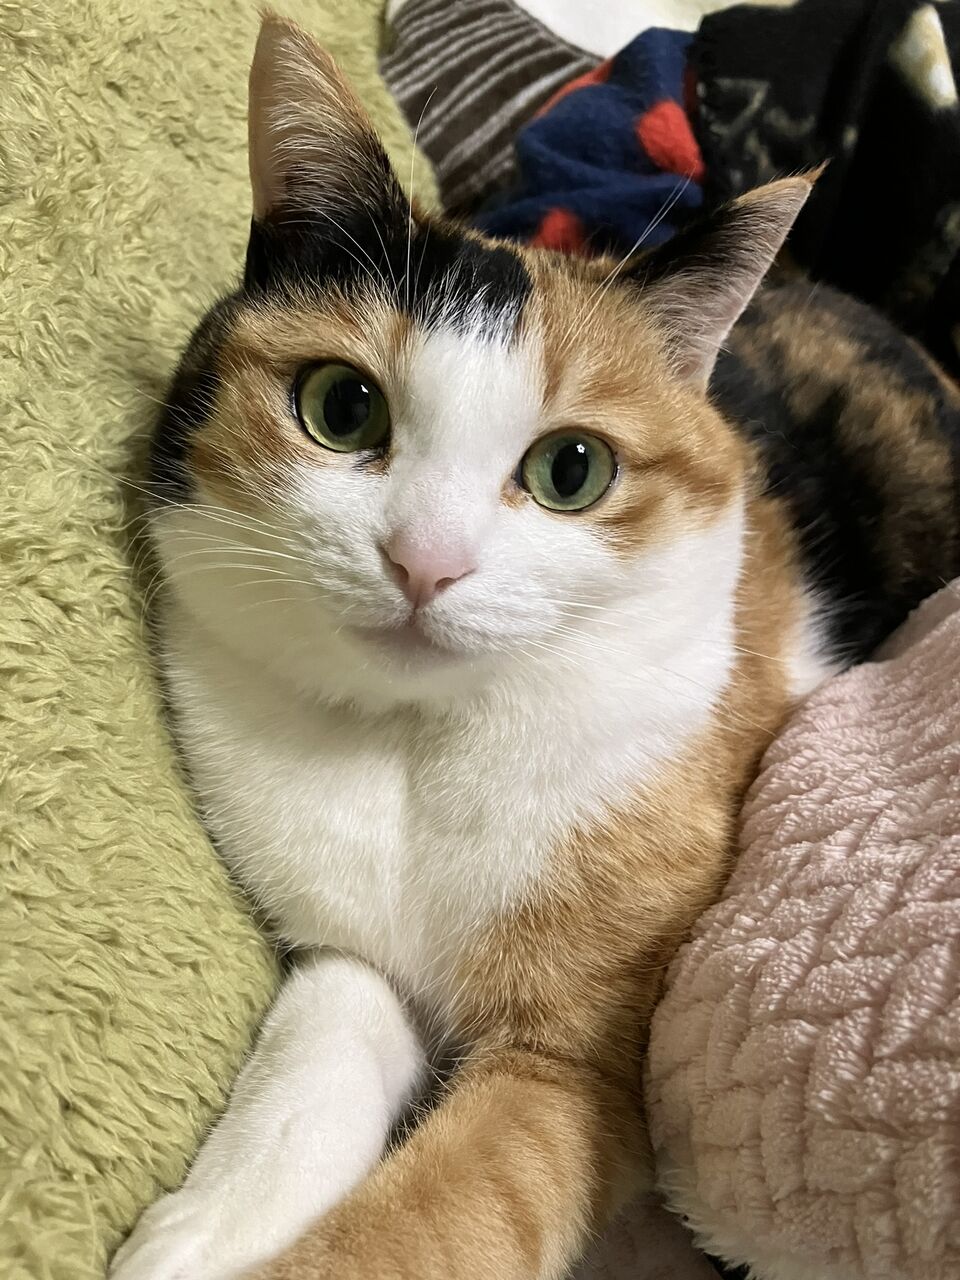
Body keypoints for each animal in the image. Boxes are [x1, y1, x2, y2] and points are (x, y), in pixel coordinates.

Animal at [111, 13, 960, 1280]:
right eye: (340, 407)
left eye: (574, 468)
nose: (426, 561)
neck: (417, 752)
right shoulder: (355, 953)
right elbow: (317, 1055)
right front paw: (203, 1233)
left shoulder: (582, 1065)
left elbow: (429, 1218)